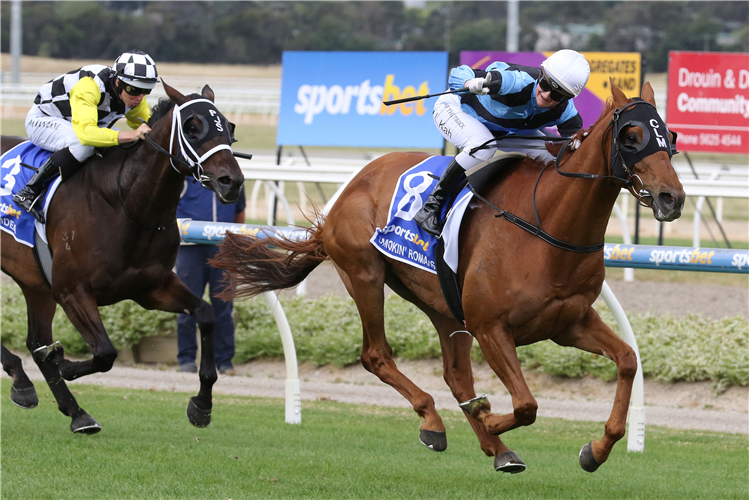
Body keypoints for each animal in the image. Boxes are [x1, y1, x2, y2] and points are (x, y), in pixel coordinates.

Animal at [0, 83, 243, 434]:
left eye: (228, 127)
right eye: (192, 128)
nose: (231, 182)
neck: (126, 203)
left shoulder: (151, 288)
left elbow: (206, 314)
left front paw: (202, 405)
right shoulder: (71, 290)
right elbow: (105, 353)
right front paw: (63, 363)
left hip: (35, 284)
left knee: (35, 340)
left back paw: (67, 407)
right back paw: (25, 378)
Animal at [212, 81, 684, 472]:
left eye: (671, 137)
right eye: (632, 136)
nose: (672, 198)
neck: (547, 223)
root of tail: (353, 185)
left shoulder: (569, 323)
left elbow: (627, 360)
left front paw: (595, 450)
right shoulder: (491, 326)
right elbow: (526, 404)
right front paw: (488, 417)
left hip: (443, 305)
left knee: (456, 376)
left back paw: (497, 448)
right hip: (364, 274)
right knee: (376, 355)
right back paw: (435, 423)